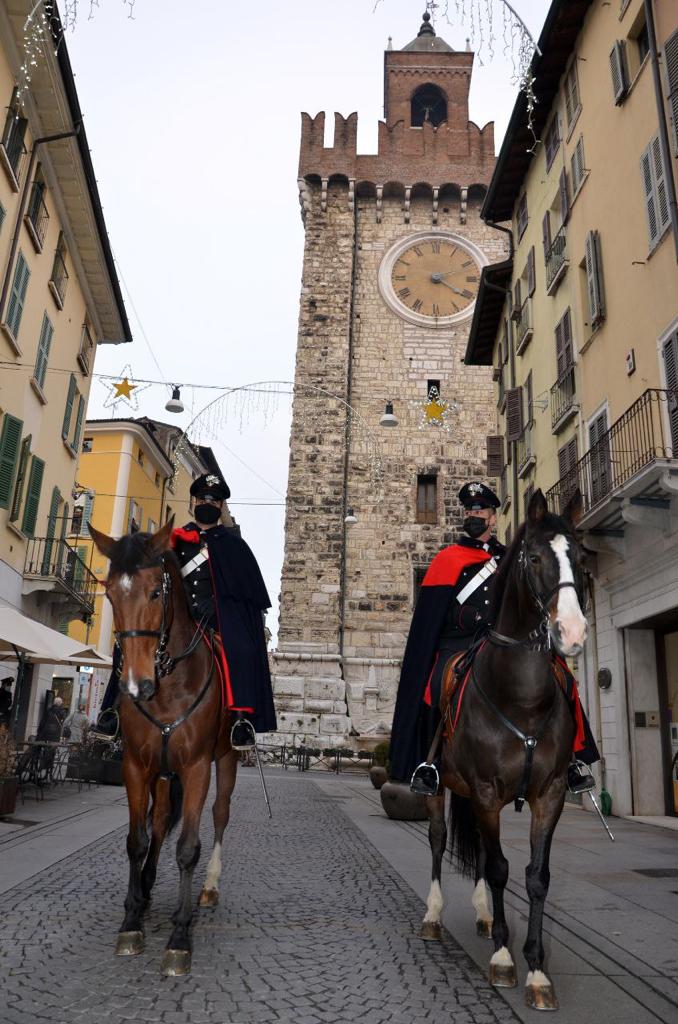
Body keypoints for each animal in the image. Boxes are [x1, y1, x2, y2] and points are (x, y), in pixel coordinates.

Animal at [90, 524, 238, 978]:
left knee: (219, 816)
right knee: (157, 822)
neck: (169, 686)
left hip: (227, 760)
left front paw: (179, 937)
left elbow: (188, 848)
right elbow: (137, 840)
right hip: (160, 773)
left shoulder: (197, 768)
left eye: (157, 591)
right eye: (110, 595)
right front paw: (131, 919)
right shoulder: (136, 766)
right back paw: (146, 887)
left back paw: (208, 887)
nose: (136, 686)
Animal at [426, 491, 589, 1011]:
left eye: (579, 557)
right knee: (439, 839)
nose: (572, 633)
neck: (521, 697)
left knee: (477, 847)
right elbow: (499, 869)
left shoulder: (549, 794)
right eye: (533, 557)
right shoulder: (484, 789)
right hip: (440, 785)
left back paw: (481, 915)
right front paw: (503, 957)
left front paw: (536, 970)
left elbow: (536, 876)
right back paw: (434, 915)